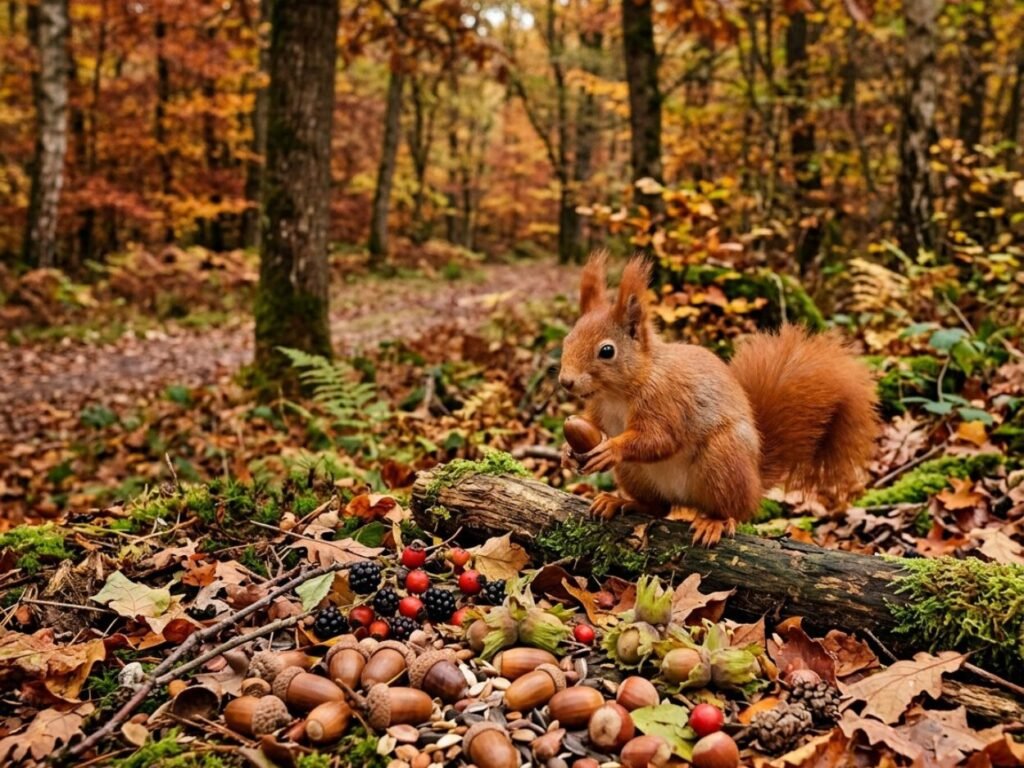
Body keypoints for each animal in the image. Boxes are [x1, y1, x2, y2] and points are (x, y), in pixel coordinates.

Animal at [559, 252, 880, 546]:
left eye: (607, 351)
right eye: (567, 340)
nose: (566, 381)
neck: (619, 393)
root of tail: (754, 483)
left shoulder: (666, 401)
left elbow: (659, 439)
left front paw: (611, 448)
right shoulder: (599, 408)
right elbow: (594, 424)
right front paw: (566, 451)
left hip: (723, 460)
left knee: (731, 510)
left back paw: (714, 522)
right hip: (635, 474)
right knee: (659, 507)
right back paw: (621, 502)